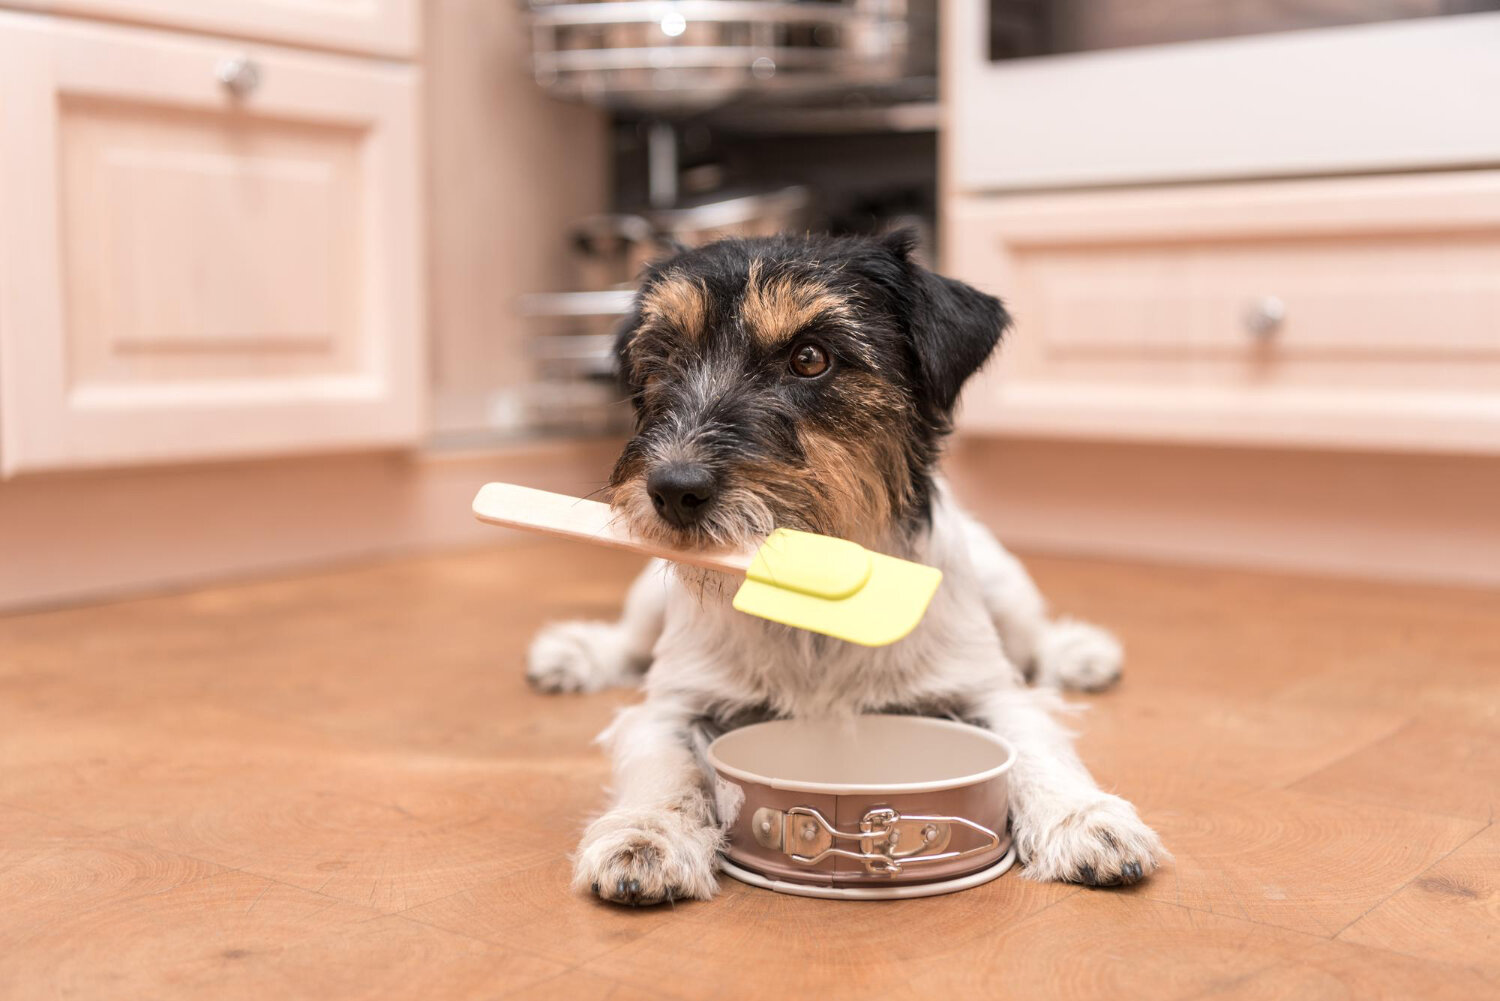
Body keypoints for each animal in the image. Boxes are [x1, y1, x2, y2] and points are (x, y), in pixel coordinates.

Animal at [528, 235, 1170, 906]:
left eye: (810, 358)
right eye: (666, 355)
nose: (674, 489)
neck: (815, 600)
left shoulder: (986, 690)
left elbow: (1036, 747)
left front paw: (1085, 819)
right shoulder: (672, 707)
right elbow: (667, 768)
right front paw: (647, 834)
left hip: (1005, 588)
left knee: (1034, 640)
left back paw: (1079, 654)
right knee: (630, 642)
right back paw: (577, 654)